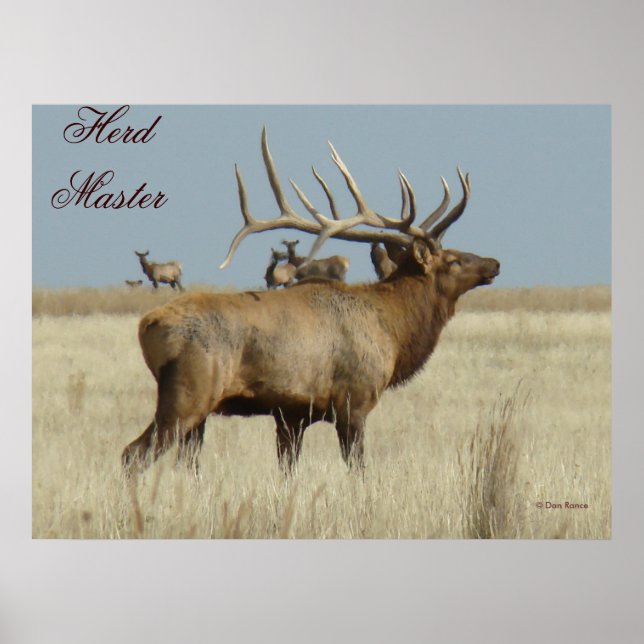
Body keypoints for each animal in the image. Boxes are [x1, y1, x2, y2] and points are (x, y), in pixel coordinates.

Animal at [122, 128, 500, 476]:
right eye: (453, 260)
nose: (494, 263)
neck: (393, 331)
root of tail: (147, 325)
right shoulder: (353, 400)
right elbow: (358, 469)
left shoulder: (292, 414)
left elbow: (287, 470)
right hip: (189, 393)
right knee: (133, 453)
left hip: (197, 410)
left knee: (185, 462)